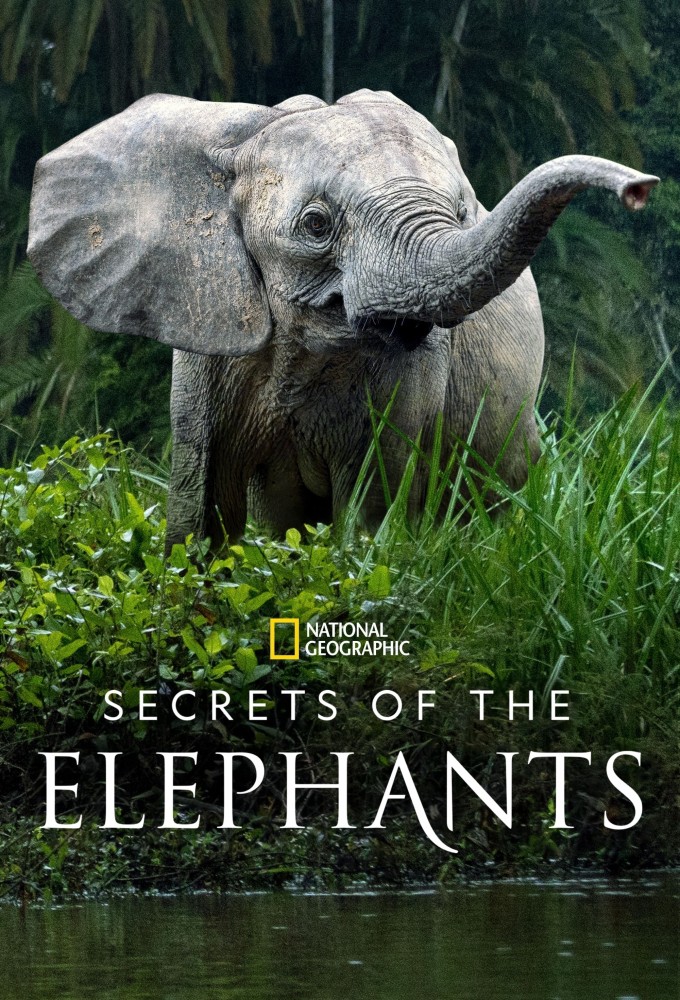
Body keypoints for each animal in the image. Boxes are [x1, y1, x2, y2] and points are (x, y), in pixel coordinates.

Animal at [27, 89, 657, 548]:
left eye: (462, 214)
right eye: (315, 224)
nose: (640, 189)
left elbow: (370, 505)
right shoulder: (206, 332)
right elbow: (202, 507)